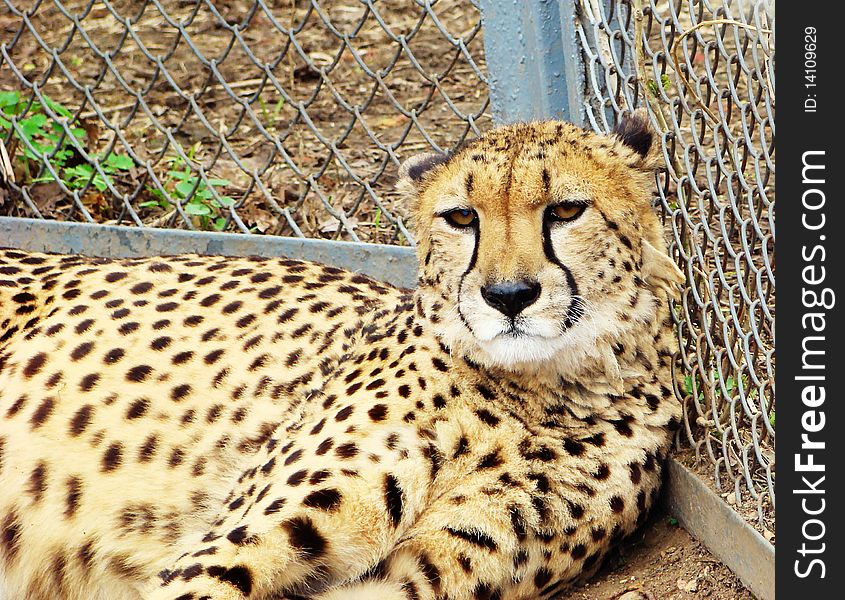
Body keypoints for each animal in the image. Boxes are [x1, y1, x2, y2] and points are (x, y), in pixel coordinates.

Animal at [0, 113, 684, 600]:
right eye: (461, 217)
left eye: (566, 210)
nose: (508, 296)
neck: (536, 391)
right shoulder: (233, 545)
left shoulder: (415, 578)